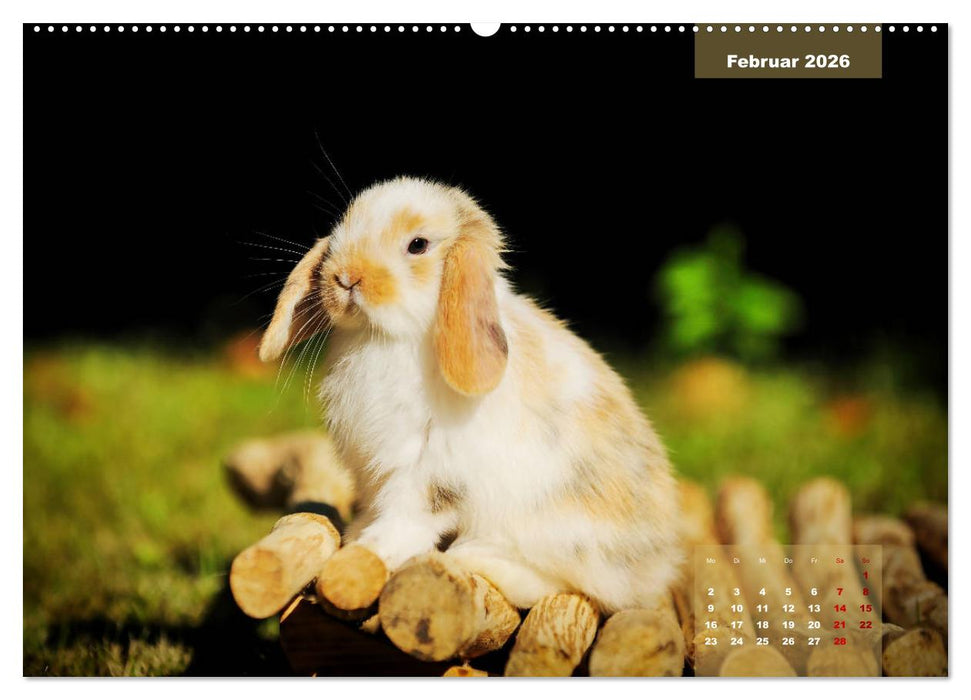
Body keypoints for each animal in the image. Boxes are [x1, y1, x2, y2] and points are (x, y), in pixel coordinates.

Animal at [259, 176, 682, 613]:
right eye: (342, 229)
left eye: (418, 245)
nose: (344, 278)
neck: (383, 337)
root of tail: (659, 566)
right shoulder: (375, 471)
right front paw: (356, 535)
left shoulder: (430, 469)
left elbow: (409, 517)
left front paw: (370, 550)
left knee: (575, 585)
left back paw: (474, 558)